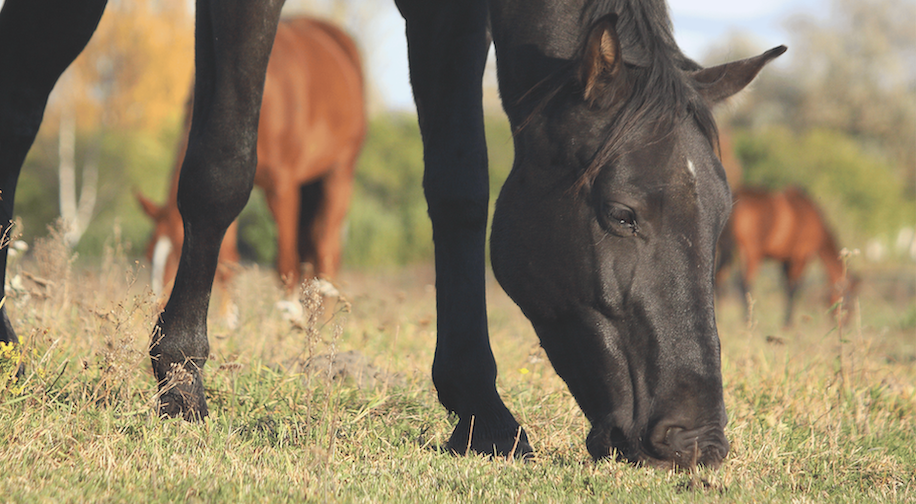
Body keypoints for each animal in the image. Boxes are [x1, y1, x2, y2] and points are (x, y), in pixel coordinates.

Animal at [136, 17, 366, 299]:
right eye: (149, 254)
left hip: (339, 174)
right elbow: (227, 263)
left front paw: (290, 311)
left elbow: (285, 264)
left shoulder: (282, 188)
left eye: (180, 250)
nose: (156, 304)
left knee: (326, 255)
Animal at [723, 186, 857, 326]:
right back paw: (747, 319)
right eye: (849, 299)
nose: (845, 323)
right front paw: (788, 323)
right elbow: (794, 288)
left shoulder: (785, 261)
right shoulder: (801, 258)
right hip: (750, 254)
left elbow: (785, 287)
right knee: (744, 282)